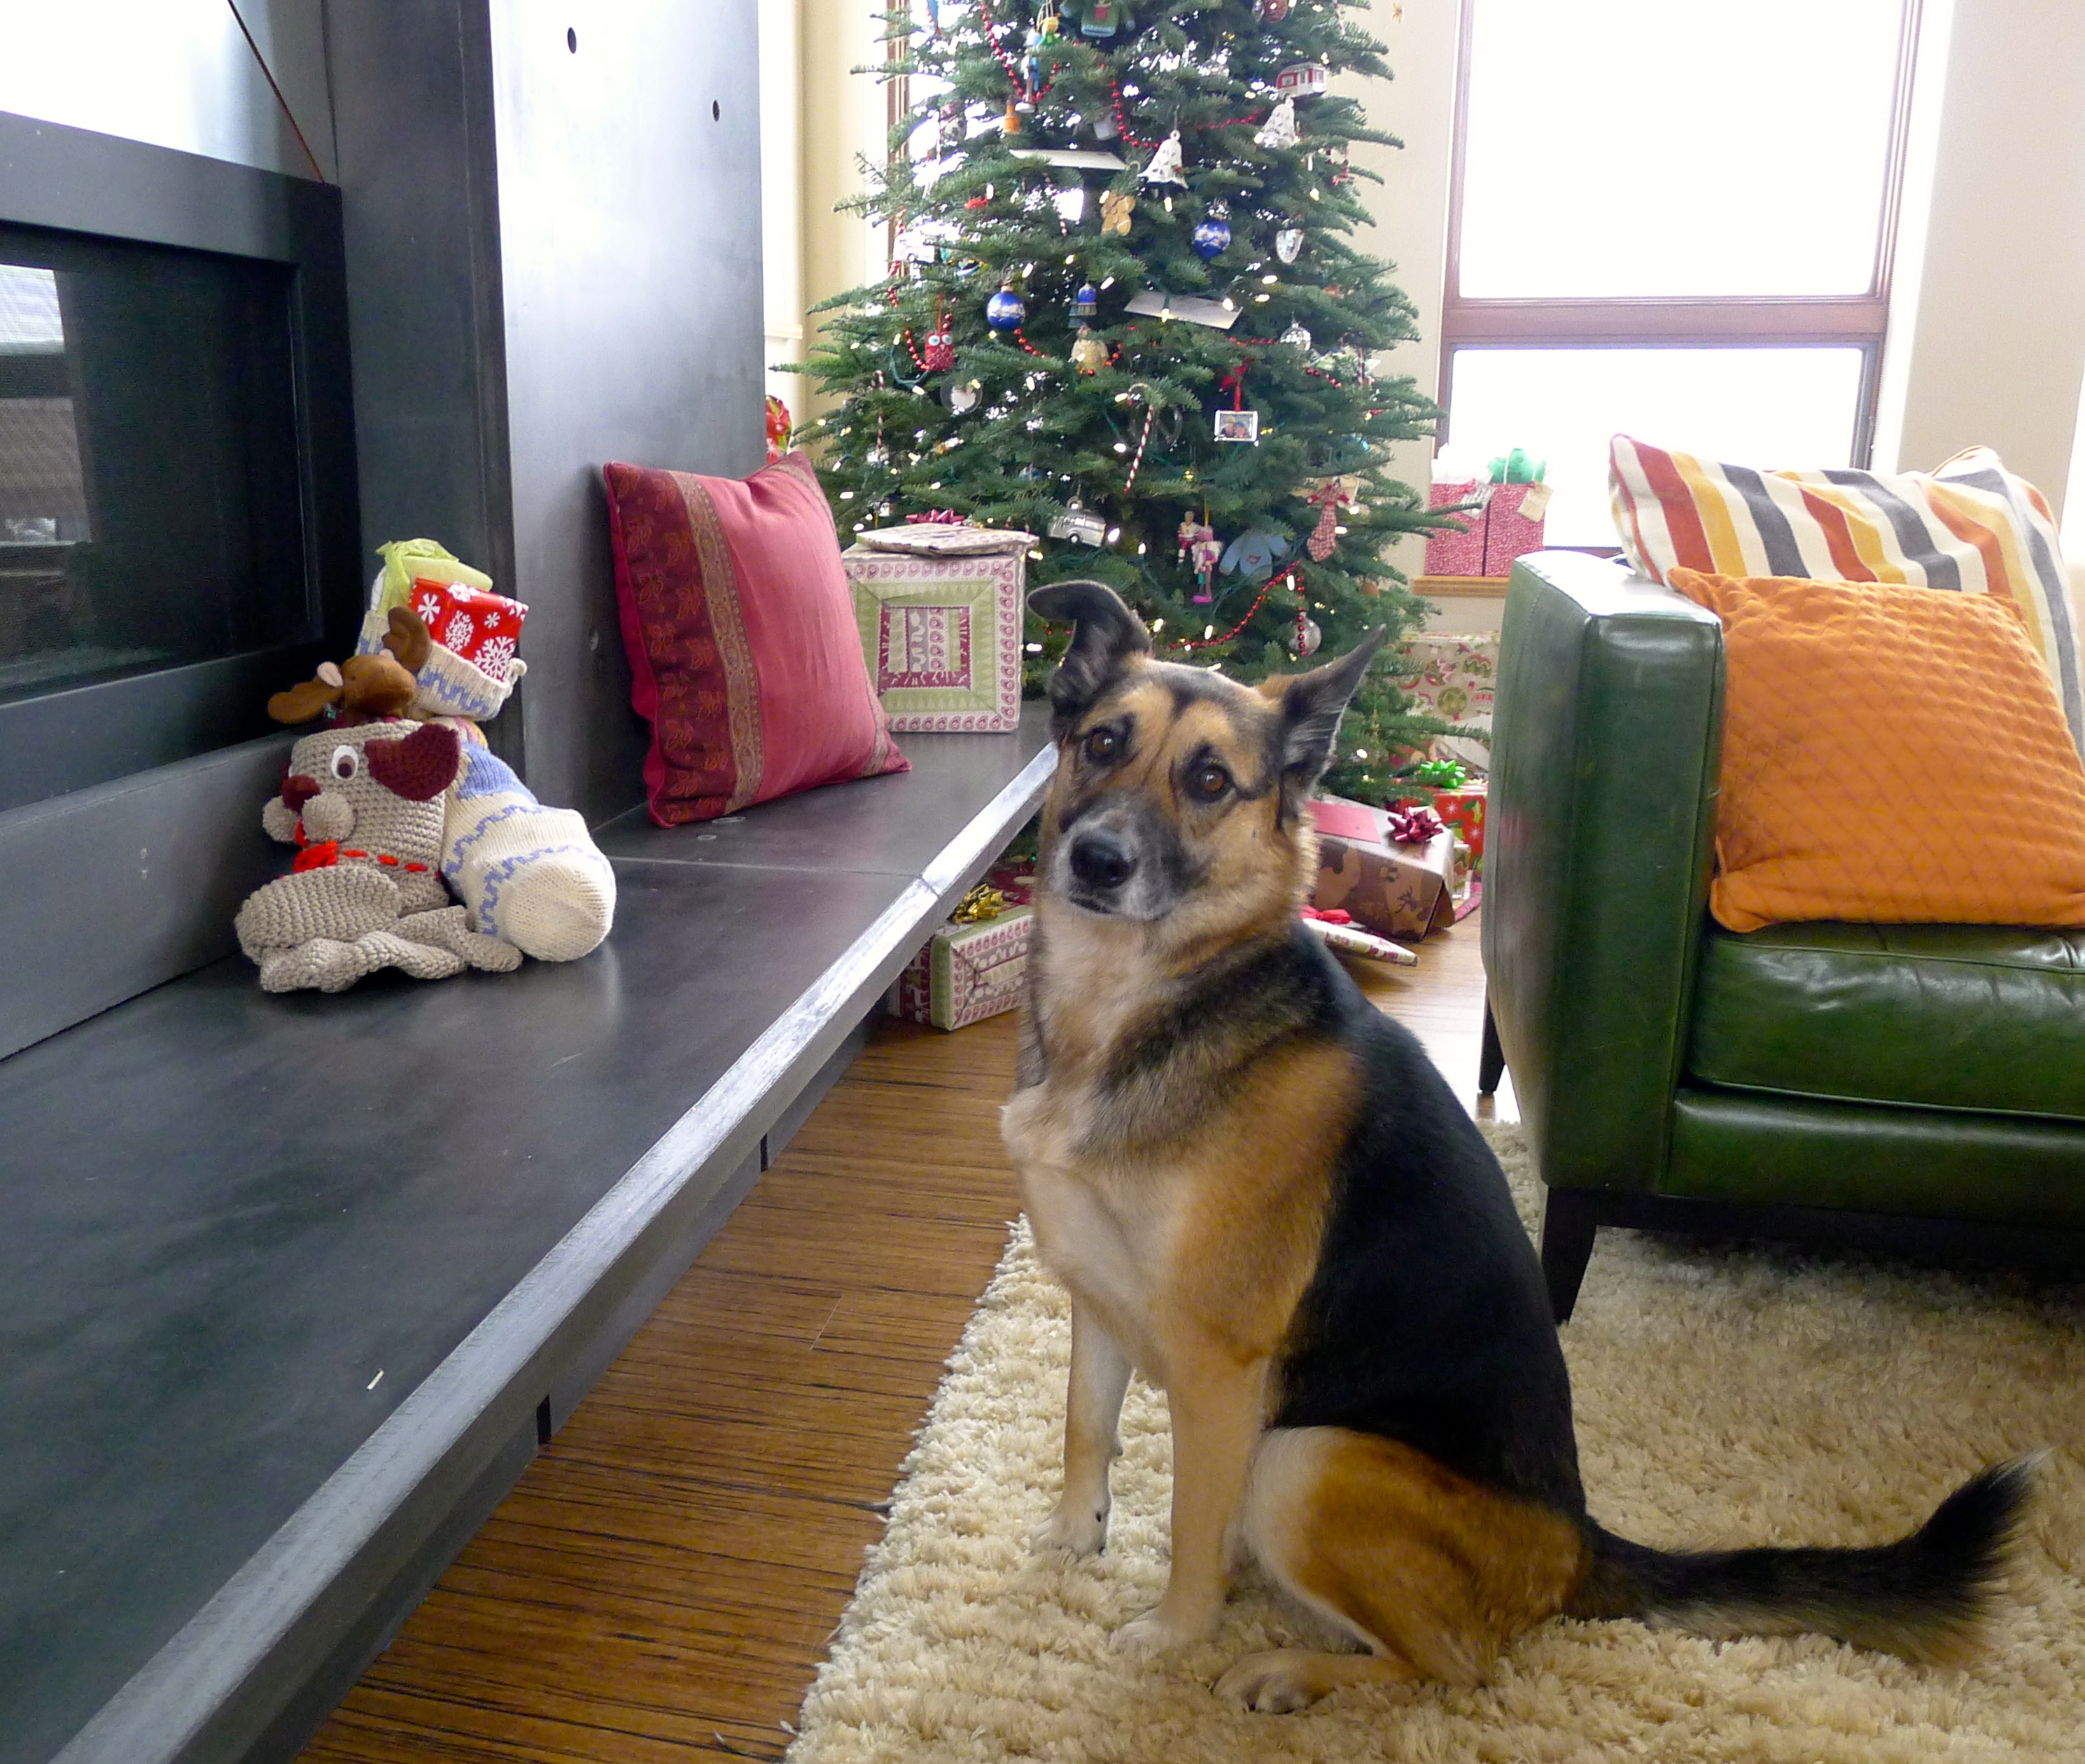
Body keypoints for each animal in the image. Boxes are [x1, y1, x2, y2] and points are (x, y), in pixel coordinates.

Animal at [1001, 580, 2033, 1713]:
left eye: (1210, 781)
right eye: (1102, 742)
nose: (1095, 860)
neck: (1130, 1007)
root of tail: (1577, 1546)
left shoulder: (1217, 1370)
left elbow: (1189, 1522)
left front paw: (1175, 1636)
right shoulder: (1097, 1298)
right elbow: (1083, 1428)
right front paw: (1070, 1537)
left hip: (1303, 1458)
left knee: (1451, 1666)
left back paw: (1288, 1670)